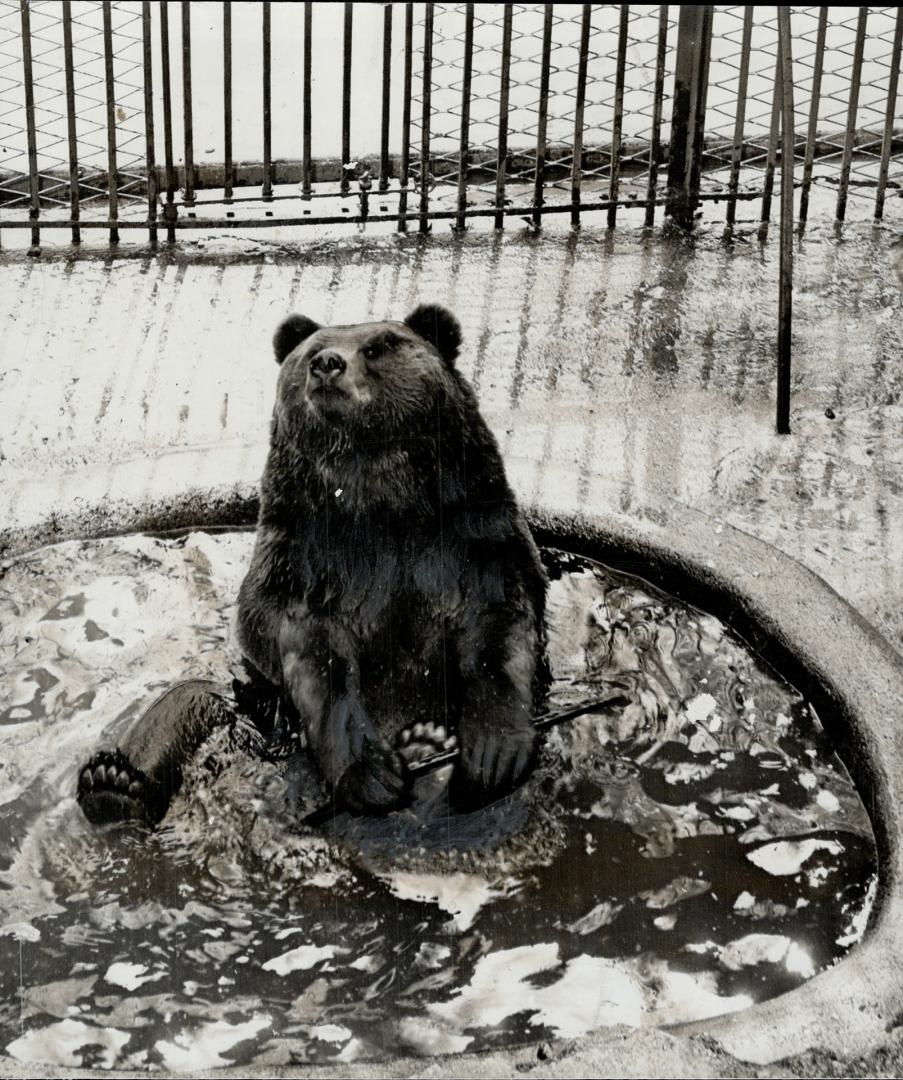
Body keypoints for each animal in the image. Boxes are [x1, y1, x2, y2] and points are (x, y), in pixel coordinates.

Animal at [77, 308, 542, 820]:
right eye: (311, 351)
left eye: (379, 346)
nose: (327, 364)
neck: (378, 497)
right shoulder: (306, 561)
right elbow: (314, 657)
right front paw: (369, 772)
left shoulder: (469, 538)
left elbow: (497, 625)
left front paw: (493, 757)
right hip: (260, 709)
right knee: (190, 700)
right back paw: (112, 784)